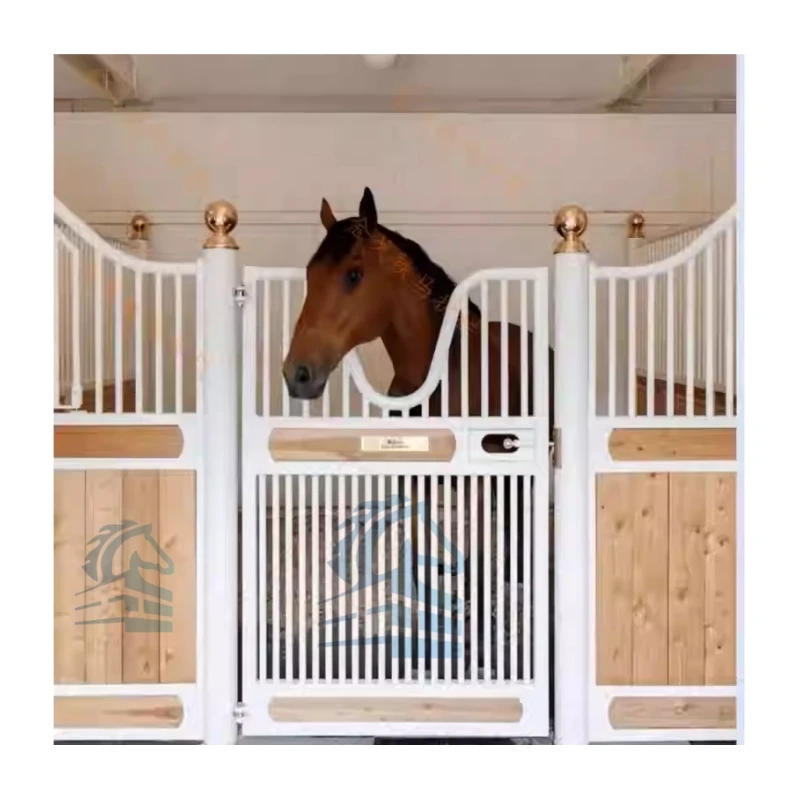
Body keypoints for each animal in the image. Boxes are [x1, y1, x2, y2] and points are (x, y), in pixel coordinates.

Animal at [283, 187, 554, 679]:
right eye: (311, 275)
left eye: (353, 274)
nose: (298, 373)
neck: (438, 374)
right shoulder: (415, 478)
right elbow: (414, 560)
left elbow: (479, 561)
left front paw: (478, 648)